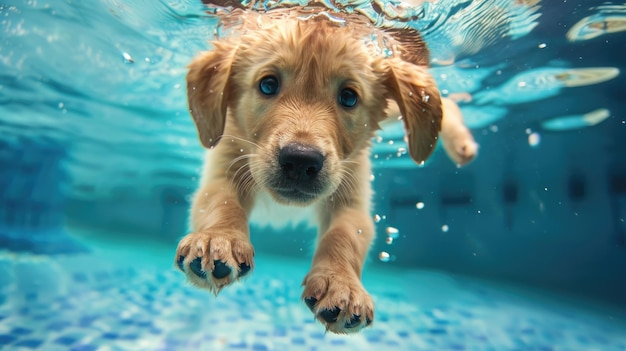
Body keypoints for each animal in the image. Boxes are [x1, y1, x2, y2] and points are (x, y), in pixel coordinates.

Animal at [173, 6, 442, 334]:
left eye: (349, 97)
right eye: (268, 85)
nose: (300, 161)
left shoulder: (351, 190)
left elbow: (345, 234)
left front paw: (341, 284)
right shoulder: (226, 162)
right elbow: (221, 202)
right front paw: (217, 239)